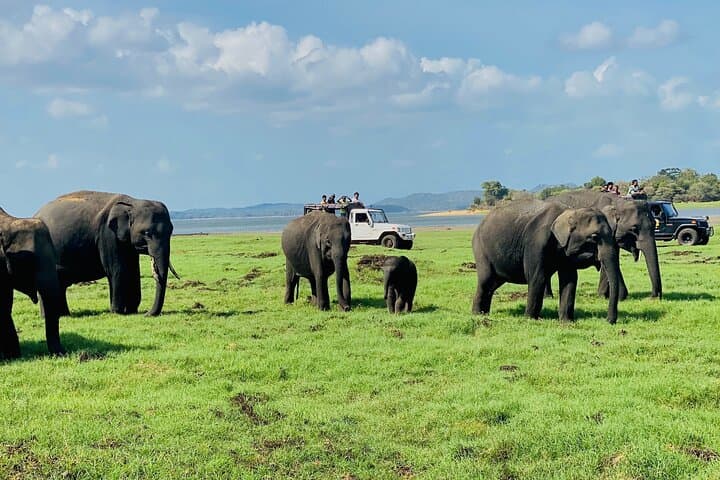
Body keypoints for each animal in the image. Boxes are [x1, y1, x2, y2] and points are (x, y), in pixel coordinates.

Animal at [35, 191, 178, 317]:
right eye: (147, 233)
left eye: (171, 231)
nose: (147, 314)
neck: (132, 203)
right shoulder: (107, 235)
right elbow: (118, 270)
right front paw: (118, 312)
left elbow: (133, 271)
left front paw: (131, 311)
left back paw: (64, 315)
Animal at [472, 200, 621, 324]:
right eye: (594, 236)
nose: (608, 321)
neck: (569, 211)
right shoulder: (536, 242)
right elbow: (537, 277)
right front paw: (531, 319)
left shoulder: (565, 252)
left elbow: (570, 279)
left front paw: (566, 322)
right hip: (481, 250)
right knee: (486, 281)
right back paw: (478, 314)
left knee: (493, 284)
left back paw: (484, 313)